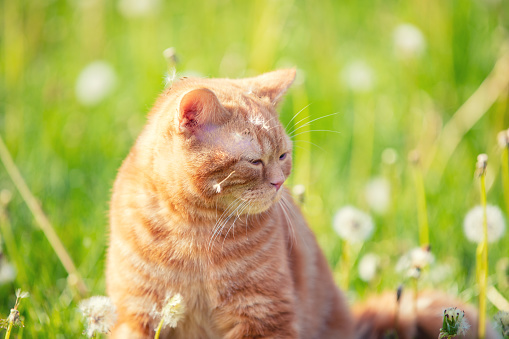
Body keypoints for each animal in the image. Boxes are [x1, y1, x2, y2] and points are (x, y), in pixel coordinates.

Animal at [106, 70, 354, 338]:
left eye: (282, 156)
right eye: (255, 161)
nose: (279, 182)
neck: (194, 228)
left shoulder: (263, 314)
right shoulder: (136, 314)